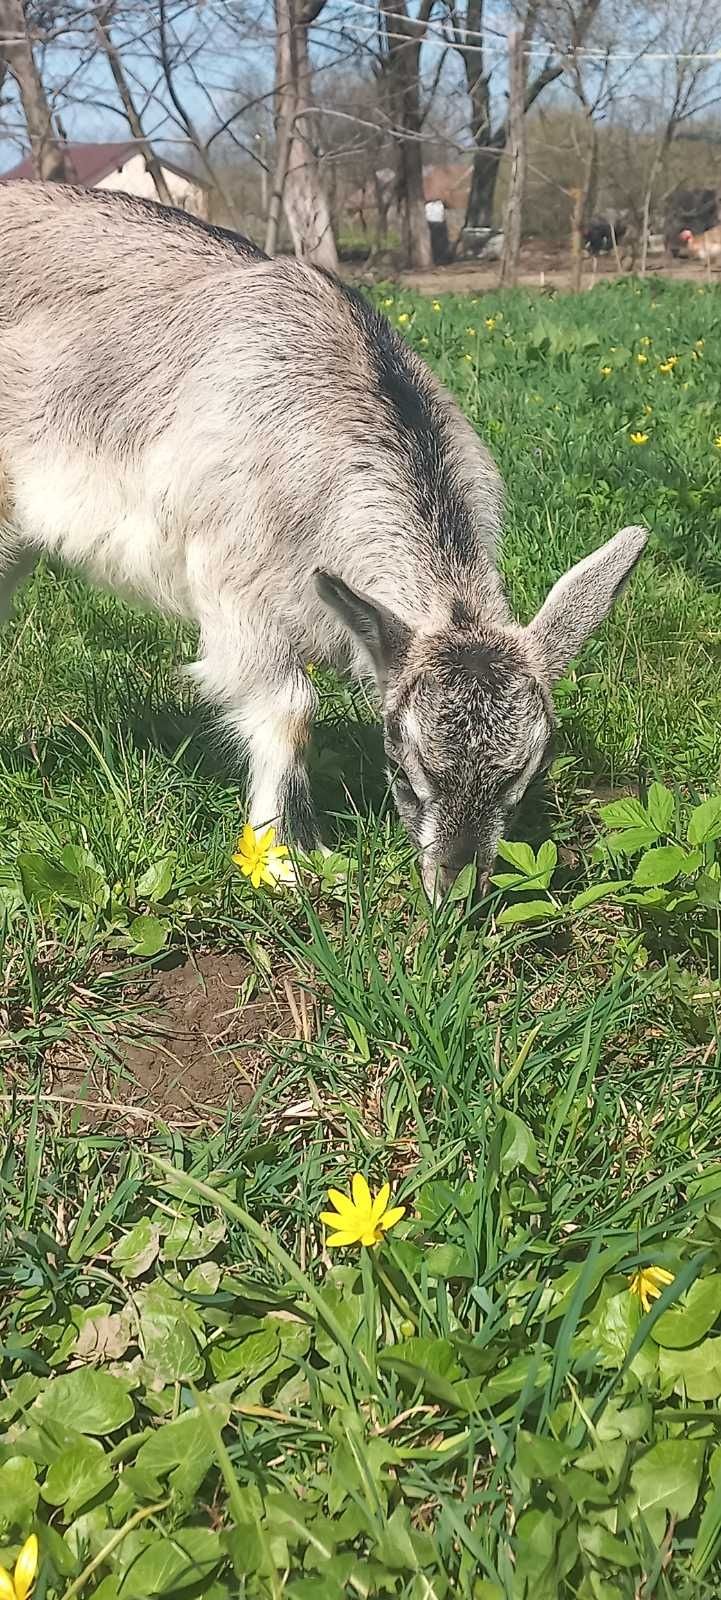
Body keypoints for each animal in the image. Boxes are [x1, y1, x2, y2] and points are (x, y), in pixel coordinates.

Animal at [0, 184, 649, 902]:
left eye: (523, 772)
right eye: (403, 765)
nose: (453, 889)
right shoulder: (239, 590)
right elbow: (290, 711)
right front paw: (282, 861)